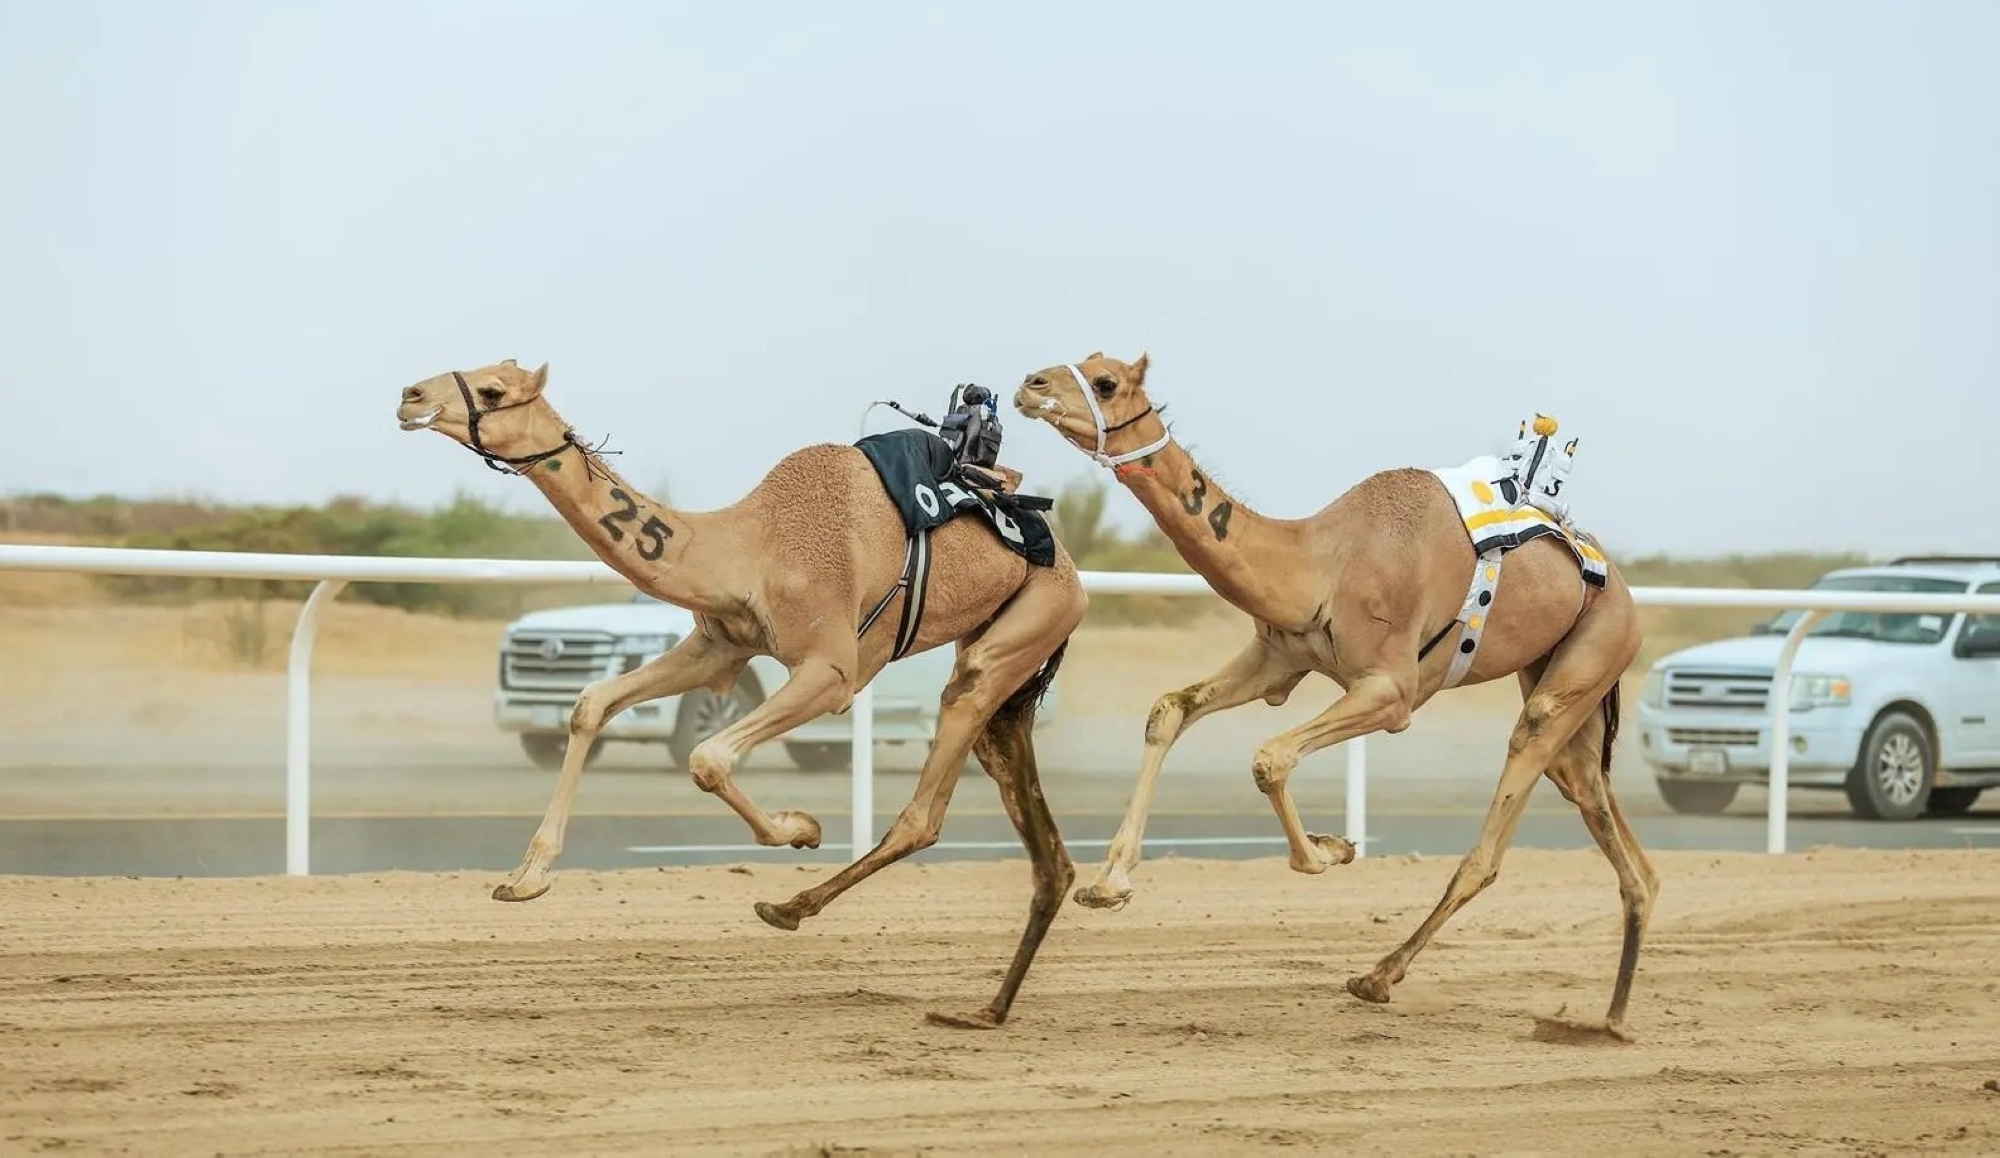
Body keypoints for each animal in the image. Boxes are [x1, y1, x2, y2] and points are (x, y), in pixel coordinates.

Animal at [388, 358, 1080, 1032]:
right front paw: (526, 879)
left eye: (492, 389)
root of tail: (1072, 572)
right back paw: (987, 1008)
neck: (751, 547)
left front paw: (801, 828)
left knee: (926, 806)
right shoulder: (718, 645)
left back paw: (792, 908)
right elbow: (592, 704)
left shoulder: (832, 670)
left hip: (1024, 626)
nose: (410, 394)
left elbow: (708, 757)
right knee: (1039, 837)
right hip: (1003, 674)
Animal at [1016, 352, 1656, 1040]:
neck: (1323, 561)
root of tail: (1622, 593)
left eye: (1105, 381)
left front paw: (1329, 852)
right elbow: (1170, 709)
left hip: (1588, 657)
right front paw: (1109, 883)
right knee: (1607, 820)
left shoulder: (1392, 691)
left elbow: (1270, 757)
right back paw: (1613, 1017)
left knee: (1496, 831)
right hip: (1561, 686)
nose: (1030, 385)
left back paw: (1379, 976)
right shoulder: (1279, 658)